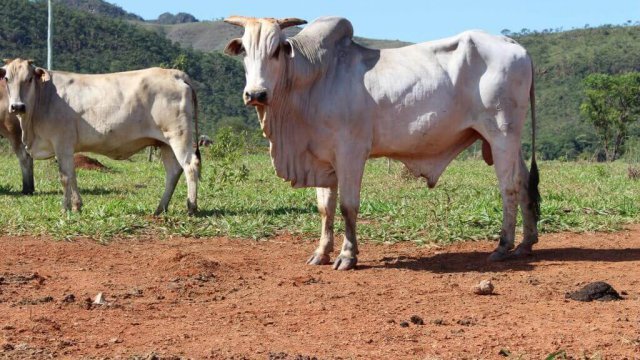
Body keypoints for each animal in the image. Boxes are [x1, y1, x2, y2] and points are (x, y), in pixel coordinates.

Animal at [0, 58, 200, 214]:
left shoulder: (62, 143)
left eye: (28, 79)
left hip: (178, 136)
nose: (17, 106)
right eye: (7, 79)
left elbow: (65, 177)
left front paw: (65, 208)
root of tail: (175, 73)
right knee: (173, 171)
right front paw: (77, 206)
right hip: (164, 143)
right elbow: (72, 175)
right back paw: (160, 208)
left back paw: (191, 207)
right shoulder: (67, 148)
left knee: (190, 166)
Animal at [225, 16, 540, 270]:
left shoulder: (351, 152)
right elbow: (325, 208)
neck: (314, 78)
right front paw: (321, 253)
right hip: (509, 139)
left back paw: (503, 246)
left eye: (276, 50)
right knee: (524, 182)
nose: (256, 94)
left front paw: (348, 256)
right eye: (245, 52)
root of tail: (517, 46)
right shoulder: (322, 159)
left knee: (509, 187)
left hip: (501, 133)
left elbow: (348, 206)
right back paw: (526, 244)